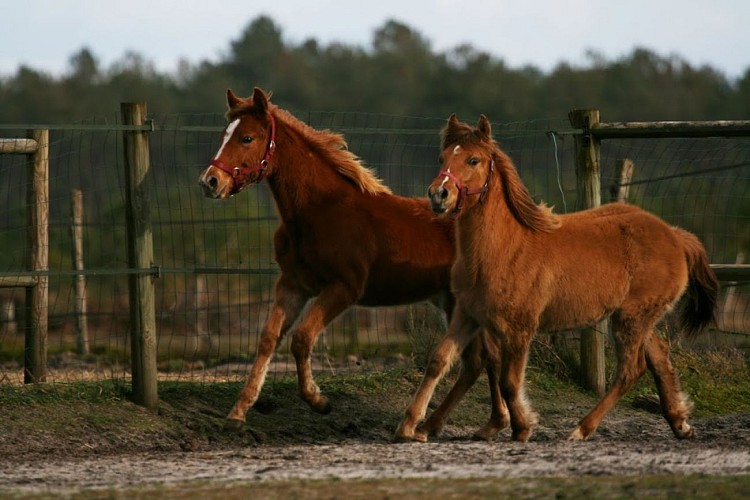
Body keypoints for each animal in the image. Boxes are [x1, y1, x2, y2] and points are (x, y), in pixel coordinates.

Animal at [198, 89, 512, 438]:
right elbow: (269, 338)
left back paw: (481, 424)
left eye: (247, 137)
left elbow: (301, 338)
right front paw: (238, 412)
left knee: (489, 357)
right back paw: (453, 425)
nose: (210, 182)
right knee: (479, 360)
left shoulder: (344, 288)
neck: (319, 211)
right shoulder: (293, 285)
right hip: (451, 301)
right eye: (223, 135)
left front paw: (318, 400)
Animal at [396, 113, 720, 442]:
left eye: (474, 160)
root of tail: (675, 235)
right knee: (659, 358)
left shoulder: (519, 328)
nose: (438, 194)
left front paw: (522, 428)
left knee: (631, 370)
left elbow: (509, 382)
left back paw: (581, 428)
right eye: (442, 158)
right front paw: (411, 427)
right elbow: (439, 361)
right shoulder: (468, 314)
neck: (505, 249)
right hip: (636, 317)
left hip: (631, 319)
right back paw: (679, 423)